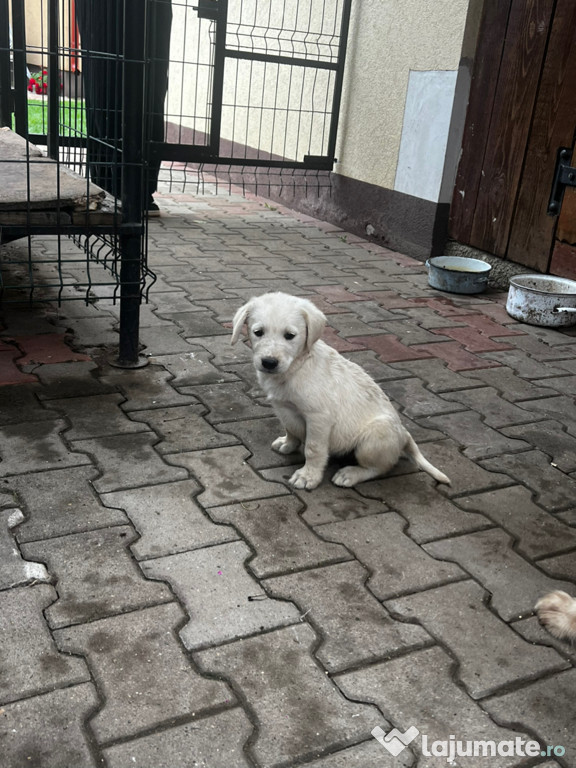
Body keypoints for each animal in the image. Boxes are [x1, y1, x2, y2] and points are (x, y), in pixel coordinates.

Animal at [231, 292, 450, 488]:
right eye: (258, 332)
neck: (297, 367)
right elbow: (291, 429)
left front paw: (308, 476)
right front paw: (288, 443)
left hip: (373, 438)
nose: (269, 362)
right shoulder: (283, 409)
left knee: (381, 467)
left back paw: (350, 474)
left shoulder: (319, 417)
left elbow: (313, 449)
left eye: (290, 336)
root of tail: (404, 435)